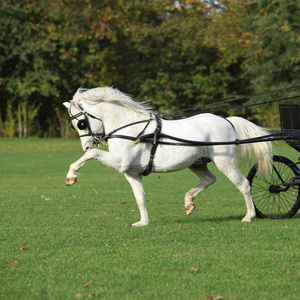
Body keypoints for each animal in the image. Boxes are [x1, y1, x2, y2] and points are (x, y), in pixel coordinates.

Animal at [62, 86, 272, 227]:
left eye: (80, 123)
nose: (87, 145)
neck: (128, 127)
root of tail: (226, 121)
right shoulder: (131, 172)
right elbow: (140, 197)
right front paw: (143, 222)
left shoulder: (120, 161)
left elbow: (92, 155)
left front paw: (71, 176)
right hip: (197, 163)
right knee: (209, 179)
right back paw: (189, 203)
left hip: (225, 162)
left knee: (243, 184)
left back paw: (249, 216)